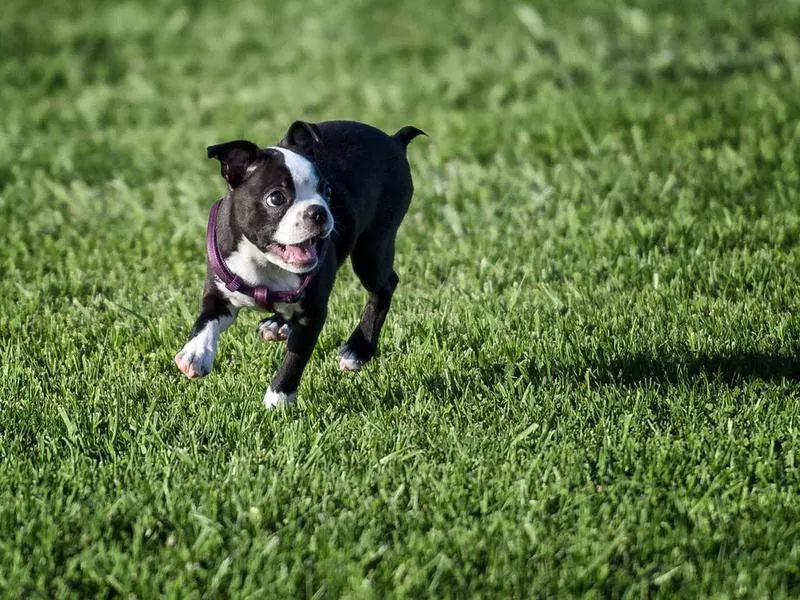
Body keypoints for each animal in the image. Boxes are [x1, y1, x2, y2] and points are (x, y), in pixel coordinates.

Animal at [175, 118, 424, 408]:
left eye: (327, 192)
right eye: (276, 198)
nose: (319, 212)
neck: (263, 261)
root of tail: (394, 140)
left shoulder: (313, 313)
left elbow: (296, 357)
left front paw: (279, 399)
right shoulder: (221, 293)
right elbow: (205, 320)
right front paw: (195, 353)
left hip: (372, 246)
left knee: (384, 286)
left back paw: (357, 349)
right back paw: (276, 323)